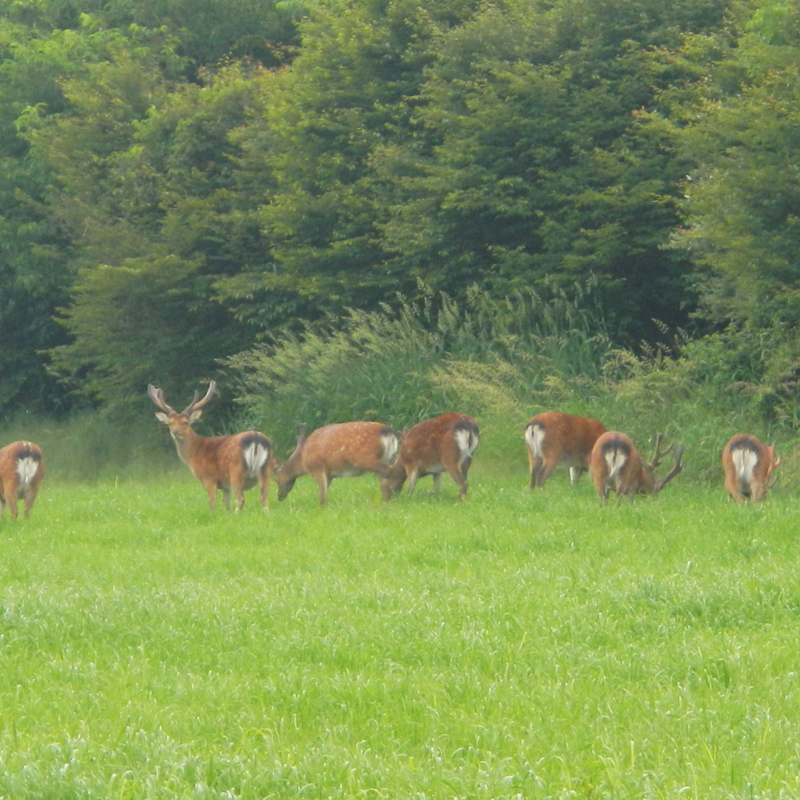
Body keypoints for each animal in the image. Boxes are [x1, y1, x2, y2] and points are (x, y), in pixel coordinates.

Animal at [148, 382, 274, 512]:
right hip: (266, 468)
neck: (194, 452)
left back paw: (237, 514)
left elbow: (212, 503)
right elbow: (226, 503)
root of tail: (256, 437)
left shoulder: (208, 477)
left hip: (235, 469)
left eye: (185, 422)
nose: (175, 432)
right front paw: (227, 514)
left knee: (241, 498)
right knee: (263, 498)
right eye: (170, 423)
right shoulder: (225, 484)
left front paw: (213, 514)